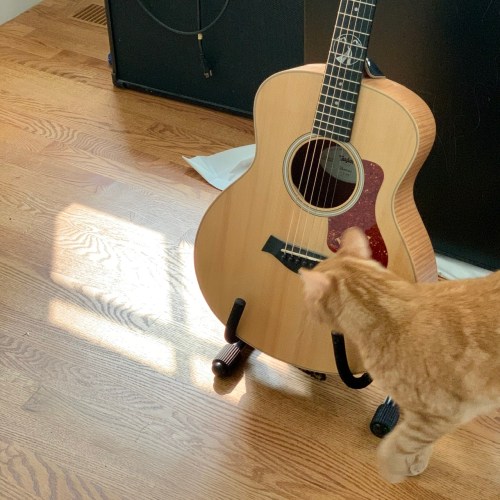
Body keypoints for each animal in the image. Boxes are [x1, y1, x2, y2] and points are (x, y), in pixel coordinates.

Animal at [299, 226, 500, 483]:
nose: (304, 308)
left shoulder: (442, 414)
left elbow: (400, 442)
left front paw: (391, 470)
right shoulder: (428, 418)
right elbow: (420, 442)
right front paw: (418, 461)